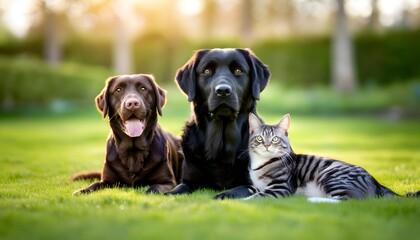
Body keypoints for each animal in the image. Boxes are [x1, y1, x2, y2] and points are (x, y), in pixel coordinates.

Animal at [166, 47, 270, 198]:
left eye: (238, 71)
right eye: (206, 71)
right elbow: (178, 188)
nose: (223, 90)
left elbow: (235, 191)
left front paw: (222, 195)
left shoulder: (251, 185)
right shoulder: (189, 180)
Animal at [244, 113, 418, 201]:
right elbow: (253, 191)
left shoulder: (280, 187)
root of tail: (376, 182)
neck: (260, 164)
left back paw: (313, 200)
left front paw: (238, 203)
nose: (267, 145)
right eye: (259, 138)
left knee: (349, 201)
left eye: (274, 139)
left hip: (331, 175)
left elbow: (255, 197)